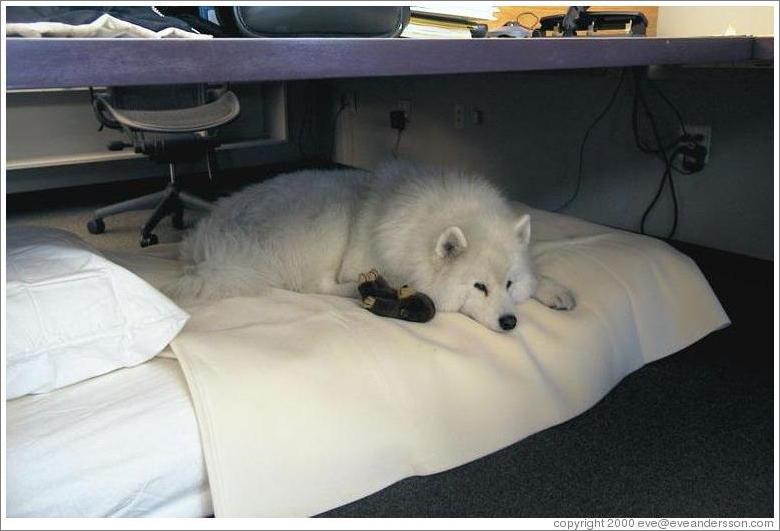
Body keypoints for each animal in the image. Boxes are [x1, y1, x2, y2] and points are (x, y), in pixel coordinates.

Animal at [169, 160, 572, 330]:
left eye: (509, 284)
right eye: (479, 286)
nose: (510, 322)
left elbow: (539, 276)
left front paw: (555, 291)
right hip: (331, 218)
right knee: (317, 285)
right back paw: (363, 289)